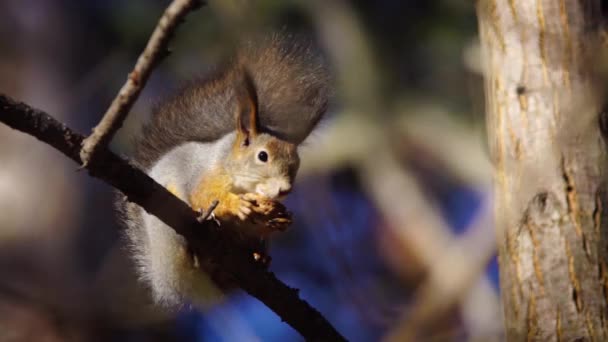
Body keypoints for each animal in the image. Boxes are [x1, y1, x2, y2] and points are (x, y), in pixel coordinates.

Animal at [116, 33, 330, 308]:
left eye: (297, 161)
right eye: (262, 156)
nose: (285, 189)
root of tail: (164, 277)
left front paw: (279, 218)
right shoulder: (202, 175)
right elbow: (204, 195)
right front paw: (235, 206)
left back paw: (257, 255)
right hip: (167, 224)